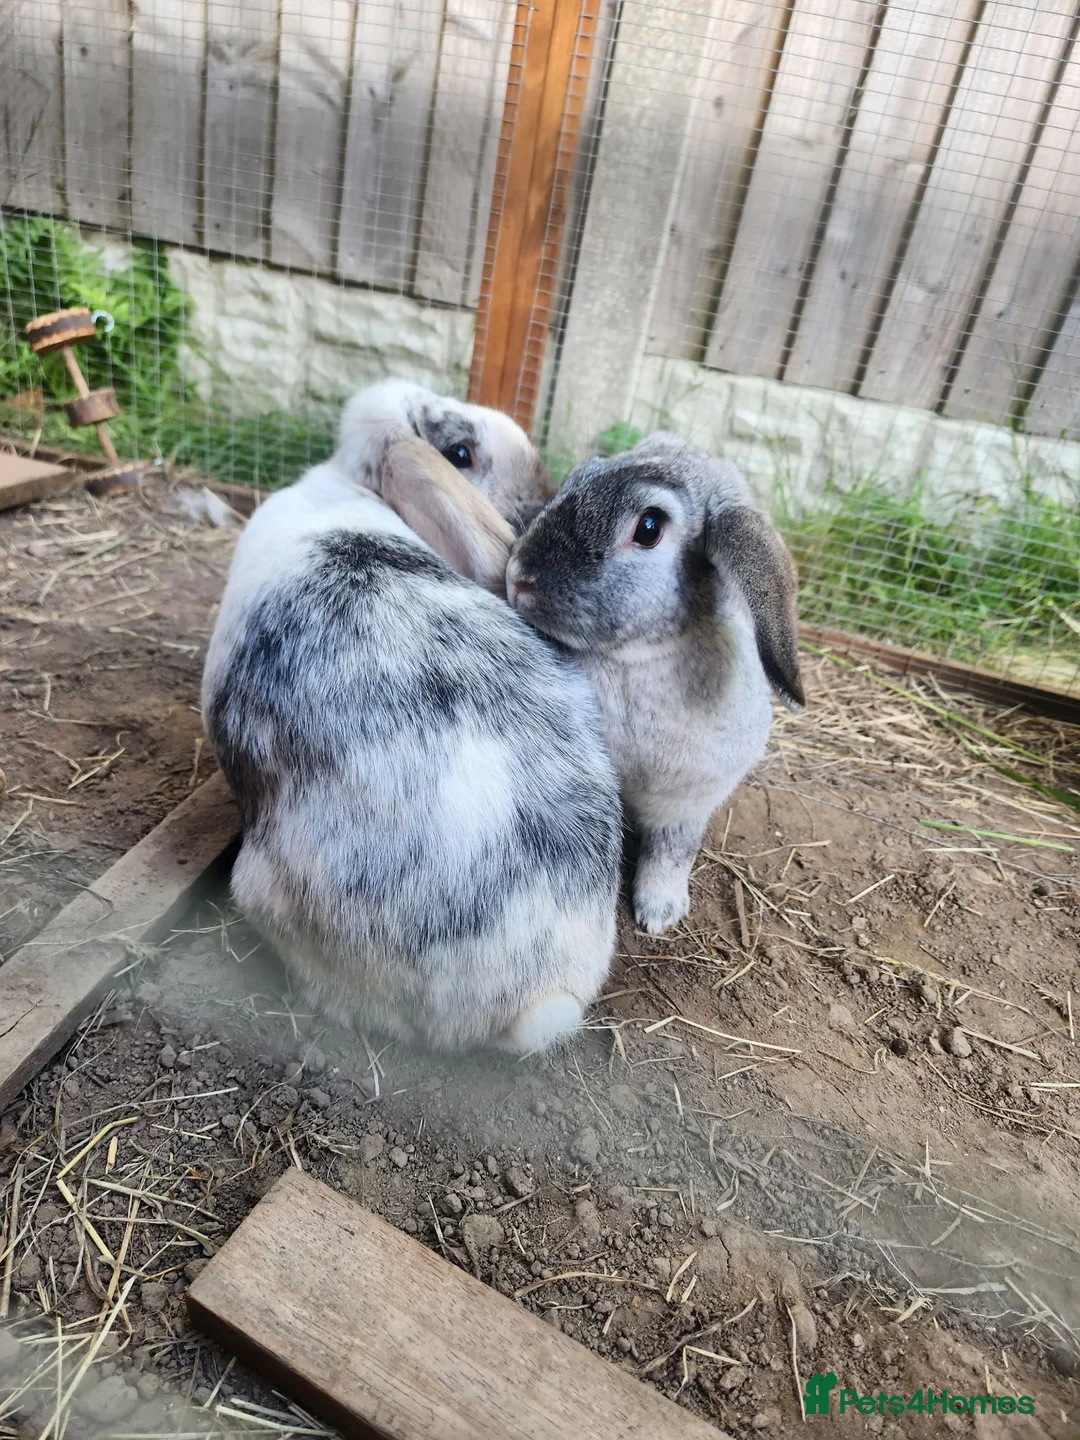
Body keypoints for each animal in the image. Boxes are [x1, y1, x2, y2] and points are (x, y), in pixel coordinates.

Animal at [505, 432, 805, 936]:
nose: (517, 577)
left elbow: (670, 854)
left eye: (648, 528)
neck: (637, 657)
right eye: (579, 476)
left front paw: (658, 913)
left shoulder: (686, 804)